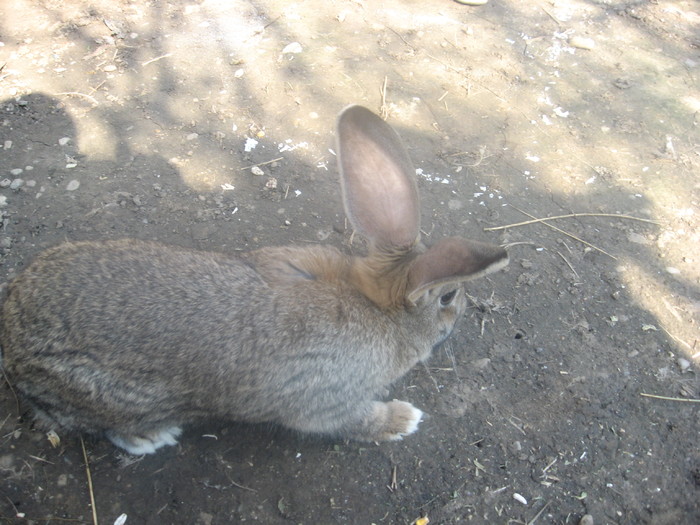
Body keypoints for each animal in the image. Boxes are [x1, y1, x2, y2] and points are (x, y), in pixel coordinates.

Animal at [0, 104, 506, 452]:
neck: (379, 308)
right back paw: (151, 438)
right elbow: (355, 421)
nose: (463, 311)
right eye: (449, 296)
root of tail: (12, 343)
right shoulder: (326, 401)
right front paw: (403, 419)